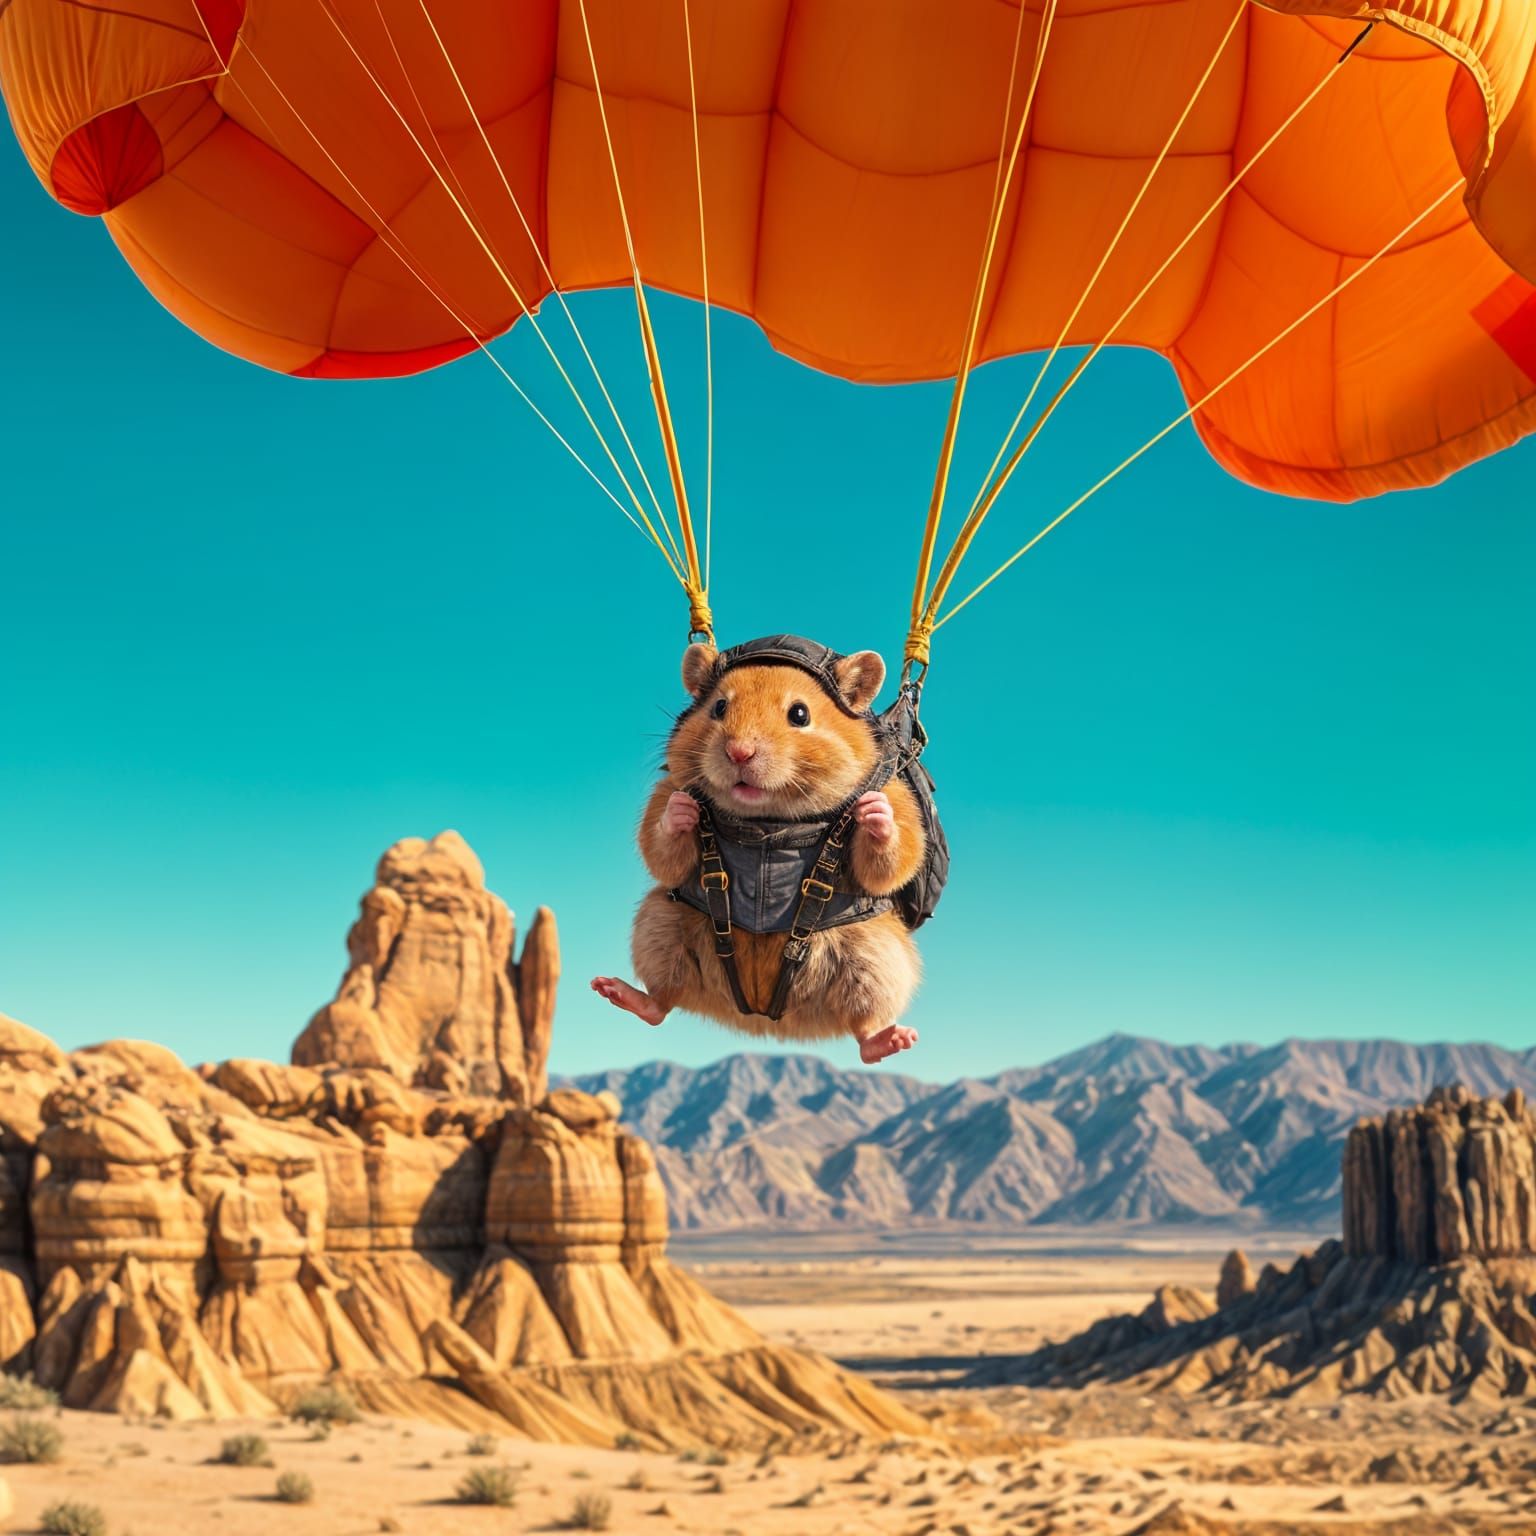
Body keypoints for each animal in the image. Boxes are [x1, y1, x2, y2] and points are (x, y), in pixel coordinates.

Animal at [591, 642, 926, 1064]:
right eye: (718, 707)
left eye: (800, 714)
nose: (739, 752)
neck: (768, 822)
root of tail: (762, 1019)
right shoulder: (667, 790)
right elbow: (661, 850)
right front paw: (681, 812)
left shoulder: (899, 800)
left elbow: (892, 862)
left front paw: (873, 813)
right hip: (659, 925)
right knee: (662, 1004)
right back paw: (618, 992)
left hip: (876, 956)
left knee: (864, 1029)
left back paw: (892, 1039)